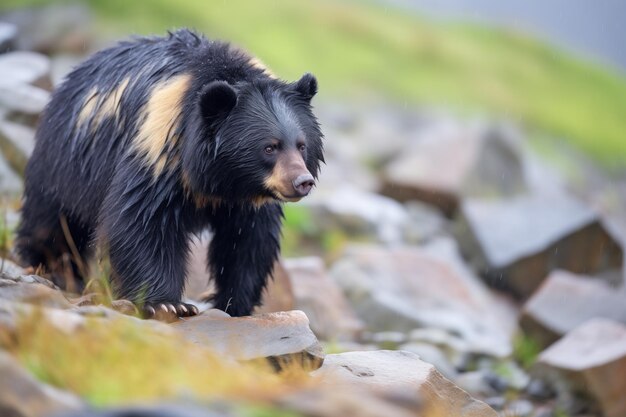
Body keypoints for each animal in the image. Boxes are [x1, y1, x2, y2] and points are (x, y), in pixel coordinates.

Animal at [14, 28, 322, 316]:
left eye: (301, 145)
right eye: (269, 148)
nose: (302, 181)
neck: (222, 179)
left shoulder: (249, 198)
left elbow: (248, 240)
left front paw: (235, 303)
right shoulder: (160, 149)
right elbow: (142, 220)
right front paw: (166, 304)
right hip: (66, 159)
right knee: (52, 218)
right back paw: (47, 266)